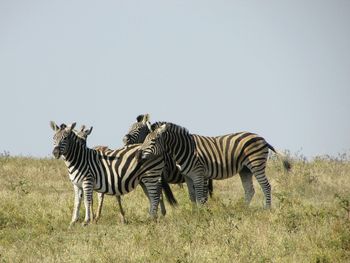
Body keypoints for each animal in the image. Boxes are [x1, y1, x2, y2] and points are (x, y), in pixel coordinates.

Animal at [134, 122, 290, 209]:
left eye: (153, 141)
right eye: (146, 139)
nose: (139, 155)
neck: (186, 148)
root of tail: (262, 138)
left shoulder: (198, 174)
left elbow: (199, 197)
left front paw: (202, 214)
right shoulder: (188, 176)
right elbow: (192, 197)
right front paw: (194, 213)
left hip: (256, 164)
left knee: (266, 186)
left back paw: (267, 208)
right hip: (245, 169)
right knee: (250, 190)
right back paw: (243, 209)